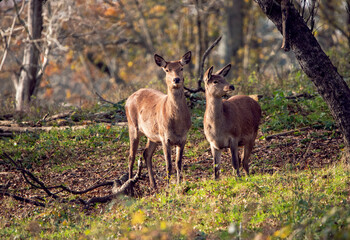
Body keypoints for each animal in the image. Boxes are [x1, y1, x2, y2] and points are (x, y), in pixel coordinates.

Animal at [125, 51, 193, 189]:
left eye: (181, 68)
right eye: (167, 70)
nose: (176, 79)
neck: (177, 123)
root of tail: (127, 100)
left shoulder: (183, 138)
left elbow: (178, 163)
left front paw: (178, 185)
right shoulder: (165, 137)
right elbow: (169, 165)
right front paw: (168, 188)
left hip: (152, 136)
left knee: (146, 153)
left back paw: (153, 185)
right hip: (132, 126)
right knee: (131, 156)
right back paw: (130, 188)